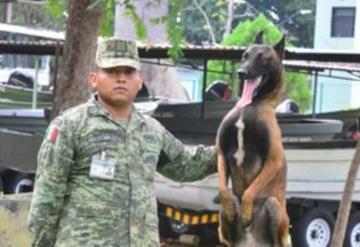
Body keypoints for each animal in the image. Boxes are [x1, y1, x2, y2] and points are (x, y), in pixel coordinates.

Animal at [215, 31, 292, 246]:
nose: (241, 72)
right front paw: (233, 209)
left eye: (263, 59)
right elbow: (223, 190)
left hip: (274, 207)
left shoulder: (273, 161)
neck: (250, 105)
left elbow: (251, 191)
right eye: (244, 56)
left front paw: (246, 211)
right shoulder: (221, 154)